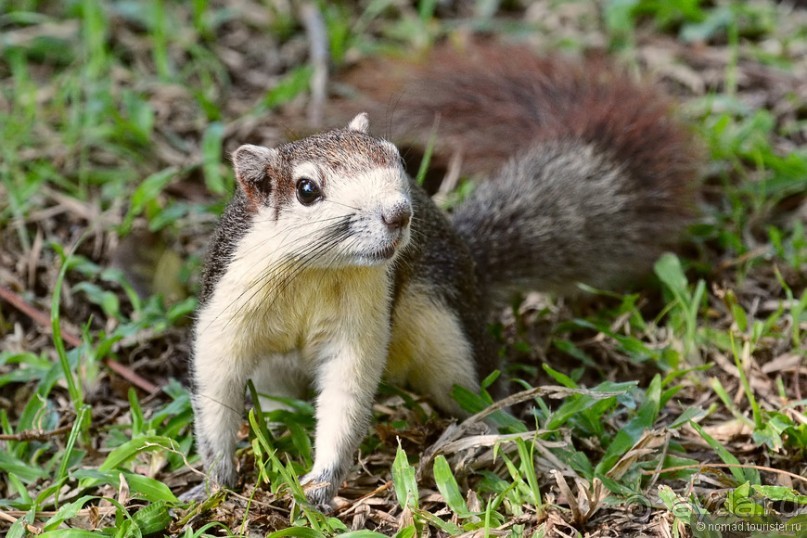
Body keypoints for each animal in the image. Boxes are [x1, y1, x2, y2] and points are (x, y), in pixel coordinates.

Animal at [191, 44, 700, 504]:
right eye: (307, 189)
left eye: (396, 156)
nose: (399, 214)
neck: (316, 270)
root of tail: (472, 265)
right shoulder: (228, 305)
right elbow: (216, 383)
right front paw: (215, 478)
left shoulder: (363, 319)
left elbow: (346, 392)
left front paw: (321, 483)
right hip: (275, 369)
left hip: (449, 337)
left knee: (475, 386)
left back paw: (486, 436)